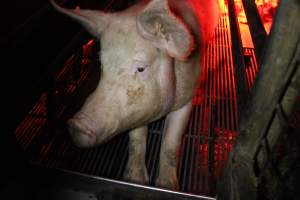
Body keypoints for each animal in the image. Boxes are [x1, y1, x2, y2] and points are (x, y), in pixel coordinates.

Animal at [50, 0, 219, 189]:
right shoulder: (136, 109)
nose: (76, 125)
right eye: (101, 64)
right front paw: (135, 180)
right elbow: (136, 139)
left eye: (141, 68)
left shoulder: (187, 98)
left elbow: (171, 144)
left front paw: (167, 187)